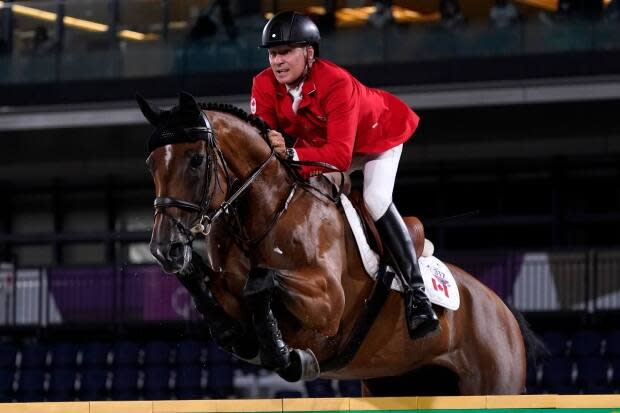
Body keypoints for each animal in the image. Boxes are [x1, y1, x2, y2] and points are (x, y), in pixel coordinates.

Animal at [140, 91, 536, 394]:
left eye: (195, 160)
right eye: (151, 164)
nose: (163, 249)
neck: (267, 211)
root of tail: (503, 309)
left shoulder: (328, 302)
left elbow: (261, 281)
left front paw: (288, 356)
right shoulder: (229, 289)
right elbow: (203, 283)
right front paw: (236, 334)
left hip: (493, 381)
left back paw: (422, 310)